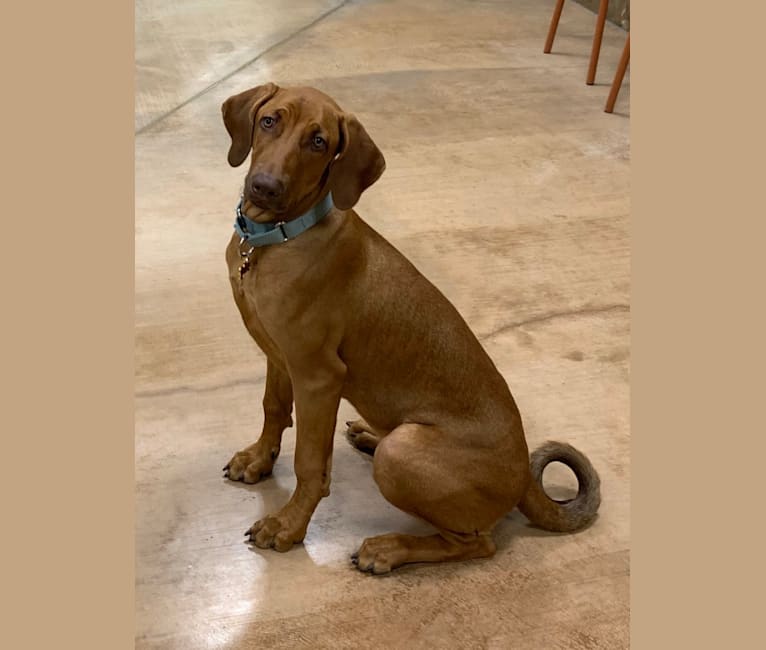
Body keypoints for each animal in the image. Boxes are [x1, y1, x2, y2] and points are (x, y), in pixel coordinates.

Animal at [220, 82, 600, 572]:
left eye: (318, 142)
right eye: (269, 121)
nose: (265, 188)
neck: (273, 241)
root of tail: (523, 481)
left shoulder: (319, 376)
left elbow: (309, 464)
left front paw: (287, 526)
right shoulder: (279, 352)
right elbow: (272, 408)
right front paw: (258, 459)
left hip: (401, 454)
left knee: (477, 544)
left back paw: (389, 548)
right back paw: (368, 434)